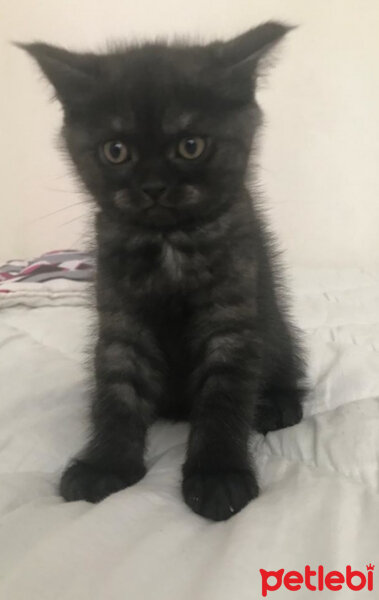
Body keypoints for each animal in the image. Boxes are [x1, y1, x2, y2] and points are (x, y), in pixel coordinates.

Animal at [20, 22, 306, 520]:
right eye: (116, 151)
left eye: (190, 146)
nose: (153, 187)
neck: (169, 242)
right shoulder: (121, 318)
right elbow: (117, 390)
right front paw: (105, 463)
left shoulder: (232, 318)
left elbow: (224, 395)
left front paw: (218, 475)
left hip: (276, 324)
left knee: (285, 360)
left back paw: (277, 402)